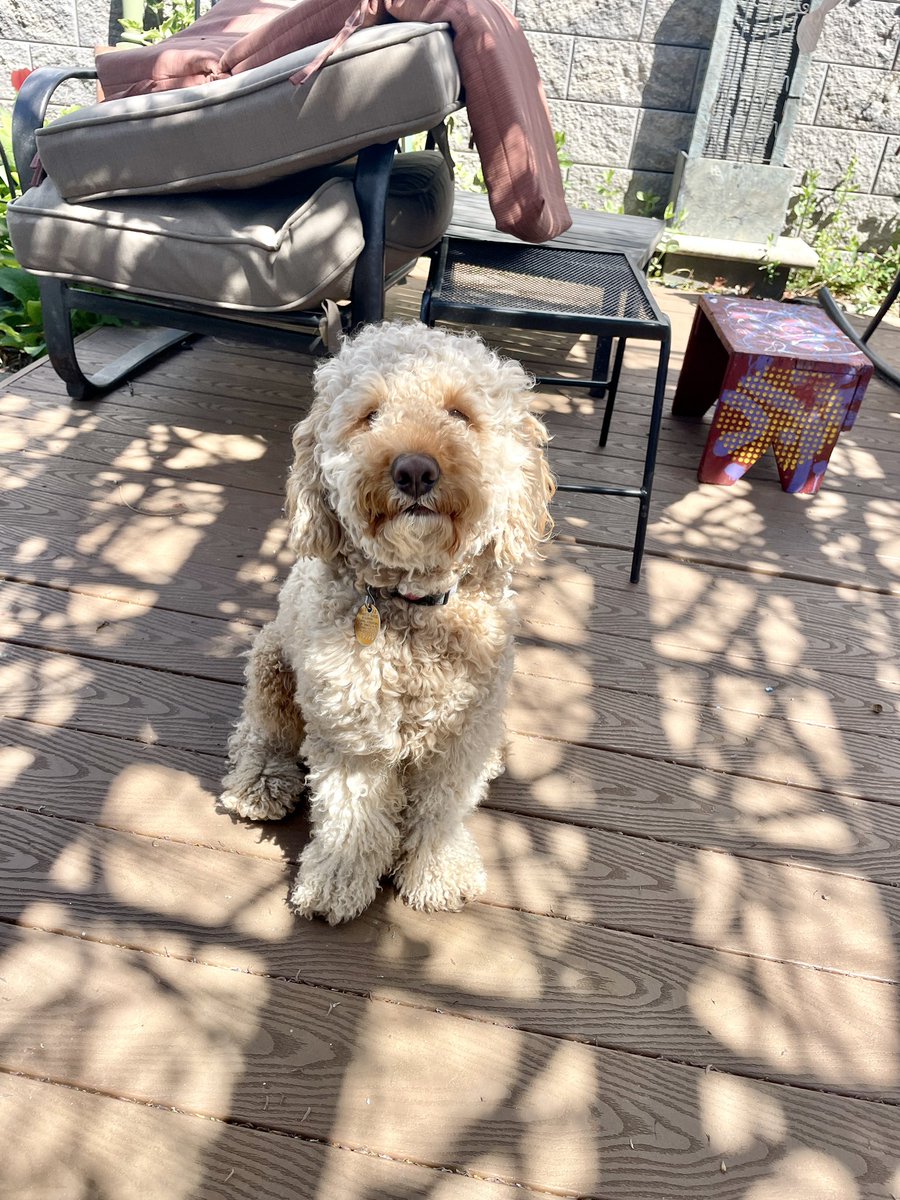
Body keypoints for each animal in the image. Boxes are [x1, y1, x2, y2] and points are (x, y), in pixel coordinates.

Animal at [220, 316, 556, 916]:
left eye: (459, 413)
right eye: (369, 415)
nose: (415, 470)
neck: (411, 607)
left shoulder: (461, 736)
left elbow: (441, 810)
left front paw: (438, 871)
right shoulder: (351, 730)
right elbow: (352, 813)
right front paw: (337, 881)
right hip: (271, 662)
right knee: (260, 732)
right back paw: (260, 783)